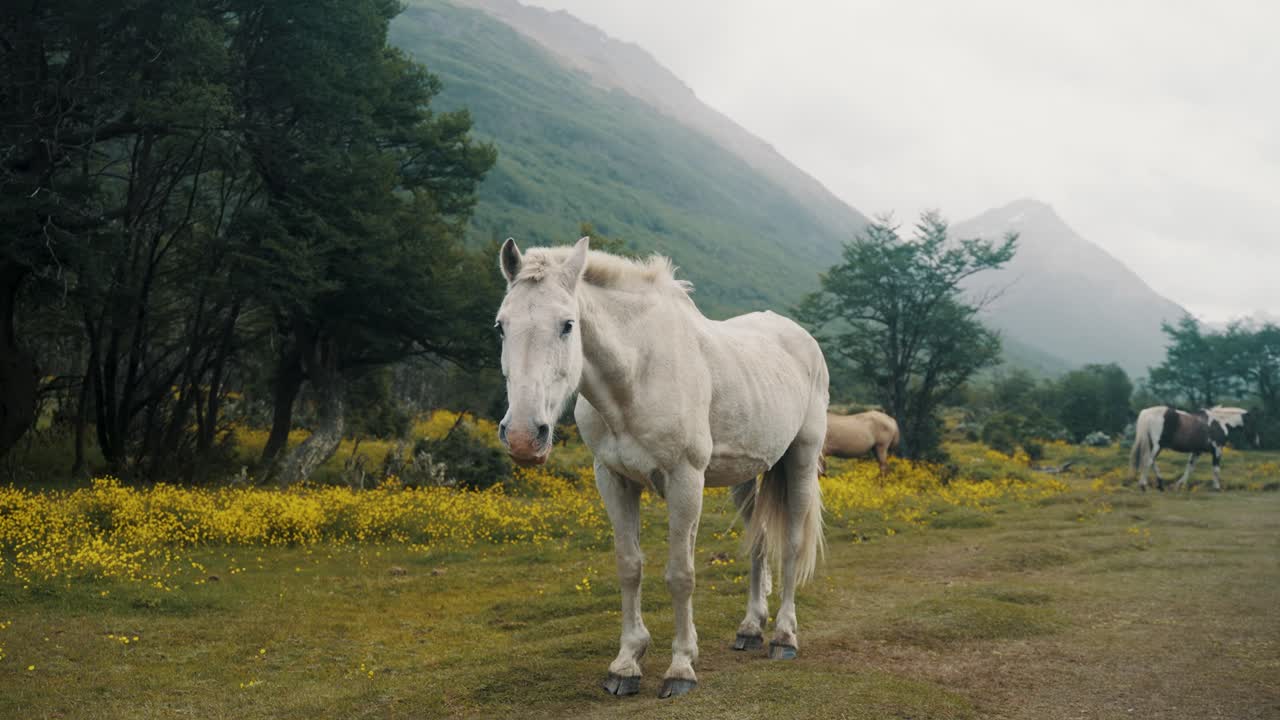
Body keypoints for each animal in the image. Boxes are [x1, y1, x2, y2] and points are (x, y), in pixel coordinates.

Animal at [494, 237, 828, 699]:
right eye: (501, 326)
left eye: (567, 324)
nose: (525, 437)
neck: (639, 372)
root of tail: (802, 340)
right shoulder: (612, 479)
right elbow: (629, 567)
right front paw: (626, 664)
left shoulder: (685, 480)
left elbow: (680, 574)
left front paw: (681, 667)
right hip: (747, 476)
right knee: (760, 543)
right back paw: (749, 629)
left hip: (800, 459)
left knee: (792, 544)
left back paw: (783, 636)